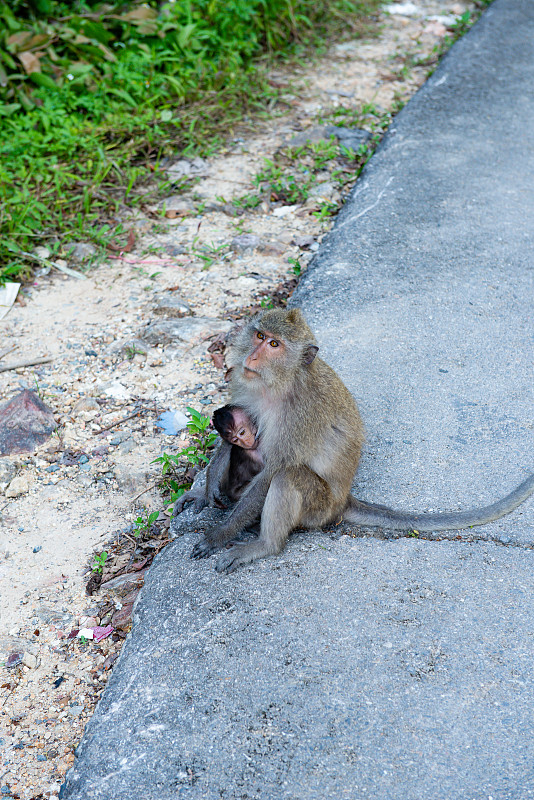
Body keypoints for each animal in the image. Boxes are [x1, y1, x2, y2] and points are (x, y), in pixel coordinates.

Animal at [181, 308, 534, 576]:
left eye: (274, 344)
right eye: (258, 336)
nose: (253, 357)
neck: (281, 384)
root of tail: (342, 501)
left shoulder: (301, 415)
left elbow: (273, 470)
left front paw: (219, 534)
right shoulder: (246, 389)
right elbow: (233, 437)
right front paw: (206, 488)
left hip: (319, 508)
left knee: (288, 476)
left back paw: (265, 545)